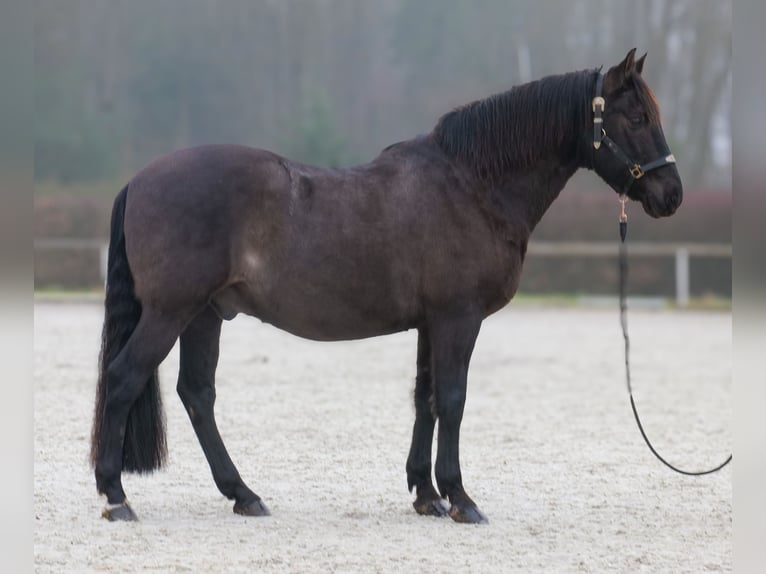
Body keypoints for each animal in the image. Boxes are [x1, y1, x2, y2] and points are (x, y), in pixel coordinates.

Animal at [90, 49, 682, 524]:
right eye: (636, 116)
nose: (671, 194)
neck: (471, 185)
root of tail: (138, 181)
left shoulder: (430, 323)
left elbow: (425, 398)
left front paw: (426, 494)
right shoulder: (458, 318)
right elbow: (453, 398)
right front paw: (460, 498)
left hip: (205, 315)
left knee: (197, 394)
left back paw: (244, 494)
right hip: (171, 312)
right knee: (123, 379)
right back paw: (116, 497)